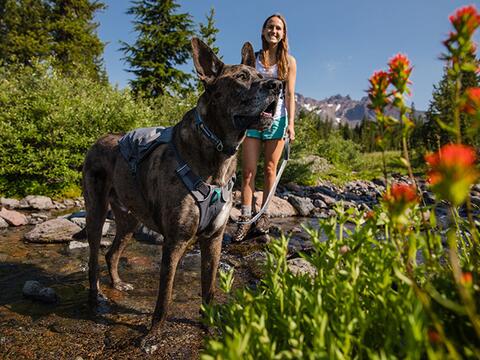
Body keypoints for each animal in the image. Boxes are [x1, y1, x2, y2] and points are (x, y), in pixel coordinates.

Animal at [82, 38, 282, 352]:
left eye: (260, 75)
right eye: (241, 77)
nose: (277, 85)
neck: (217, 153)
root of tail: (98, 140)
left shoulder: (213, 240)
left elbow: (208, 290)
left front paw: (209, 327)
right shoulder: (174, 243)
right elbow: (164, 298)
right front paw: (153, 335)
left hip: (129, 220)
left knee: (111, 253)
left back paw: (117, 284)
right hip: (96, 211)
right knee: (92, 257)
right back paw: (97, 296)